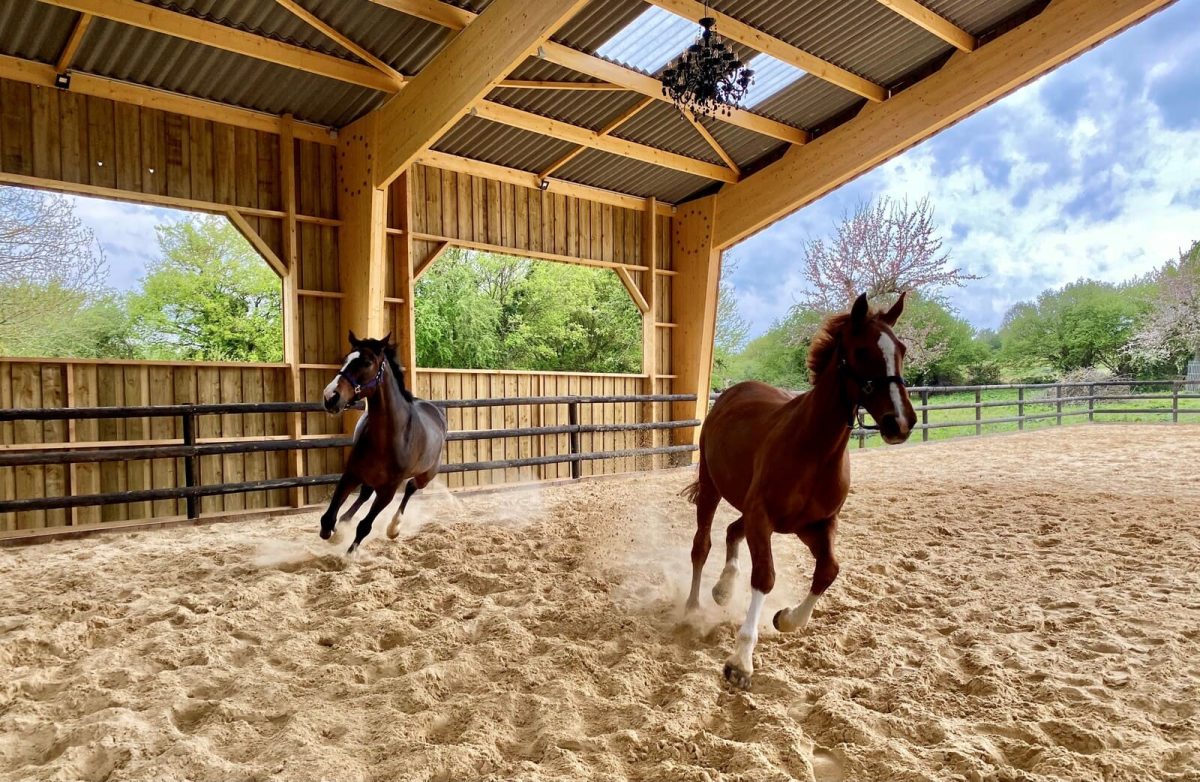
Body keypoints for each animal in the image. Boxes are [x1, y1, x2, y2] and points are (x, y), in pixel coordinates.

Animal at [320, 332, 447, 554]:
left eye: (367, 362)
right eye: (345, 359)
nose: (330, 396)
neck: (387, 437)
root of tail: (437, 412)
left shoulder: (388, 489)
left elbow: (365, 526)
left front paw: (349, 555)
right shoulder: (351, 474)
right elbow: (329, 517)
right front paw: (333, 533)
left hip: (426, 475)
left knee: (411, 487)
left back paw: (394, 528)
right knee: (365, 493)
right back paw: (345, 522)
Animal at [683, 292, 916, 690]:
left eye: (900, 349)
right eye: (861, 351)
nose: (900, 422)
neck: (813, 450)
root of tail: (734, 391)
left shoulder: (814, 525)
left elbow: (828, 571)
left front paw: (786, 619)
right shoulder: (763, 517)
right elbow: (765, 577)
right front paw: (741, 662)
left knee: (732, 531)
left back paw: (723, 590)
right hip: (712, 489)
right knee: (703, 545)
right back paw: (694, 606)